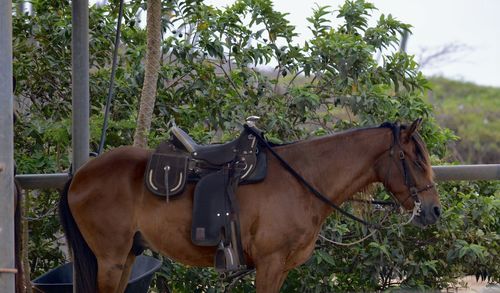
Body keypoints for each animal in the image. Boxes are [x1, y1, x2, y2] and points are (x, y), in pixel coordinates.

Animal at [59, 119, 442, 292]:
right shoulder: (269, 265)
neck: (301, 181)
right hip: (111, 259)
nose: (434, 210)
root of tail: (80, 175)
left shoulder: (281, 268)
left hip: (126, 257)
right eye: (416, 159)